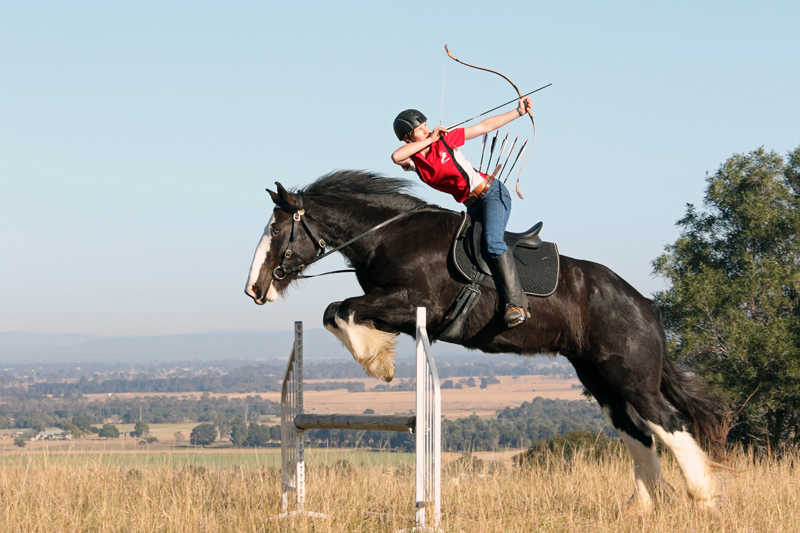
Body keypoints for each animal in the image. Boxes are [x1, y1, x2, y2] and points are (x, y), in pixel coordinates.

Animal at [245, 169, 732, 512]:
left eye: (276, 231)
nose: (255, 289)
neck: (387, 234)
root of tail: (645, 305)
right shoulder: (396, 309)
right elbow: (337, 311)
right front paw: (379, 357)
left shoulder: (416, 305)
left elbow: (341, 308)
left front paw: (377, 363)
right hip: (599, 379)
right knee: (639, 435)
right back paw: (642, 509)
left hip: (630, 375)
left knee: (668, 425)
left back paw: (704, 498)